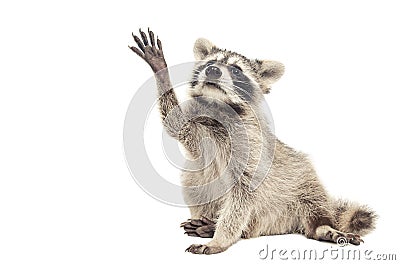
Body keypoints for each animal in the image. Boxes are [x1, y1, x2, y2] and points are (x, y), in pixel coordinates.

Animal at [130, 28, 376, 254]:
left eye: (236, 70)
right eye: (210, 62)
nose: (212, 70)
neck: (219, 106)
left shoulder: (252, 145)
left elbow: (243, 194)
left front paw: (219, 240)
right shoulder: (200, 130)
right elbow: (176, 124)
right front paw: (160, 70)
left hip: (304, 183)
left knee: (313, 206)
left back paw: (321, 227)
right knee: (194, 180)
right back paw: (209, 222)